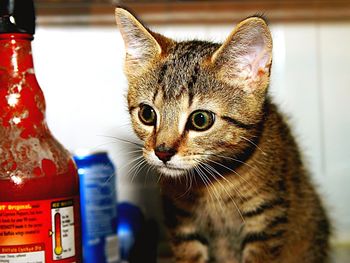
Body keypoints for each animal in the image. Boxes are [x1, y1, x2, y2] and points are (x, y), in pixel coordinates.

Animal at [115, 7, 330, 262]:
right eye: (147, 114)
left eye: (200, 120)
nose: (162, 152)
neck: (214, 183)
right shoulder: (180, 220)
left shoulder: (267, 218)